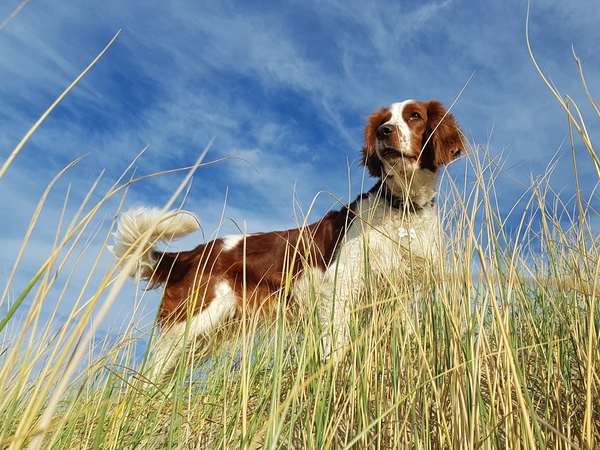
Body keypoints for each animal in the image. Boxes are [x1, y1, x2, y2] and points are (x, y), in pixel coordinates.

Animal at [111, 99, 464, 376]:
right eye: (383, 120)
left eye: (414, 116)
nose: (384, 132)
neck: (401, 207)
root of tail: (192, 253)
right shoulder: (340, 290)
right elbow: (335, 347)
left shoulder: (401, 293)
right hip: (190, 322)